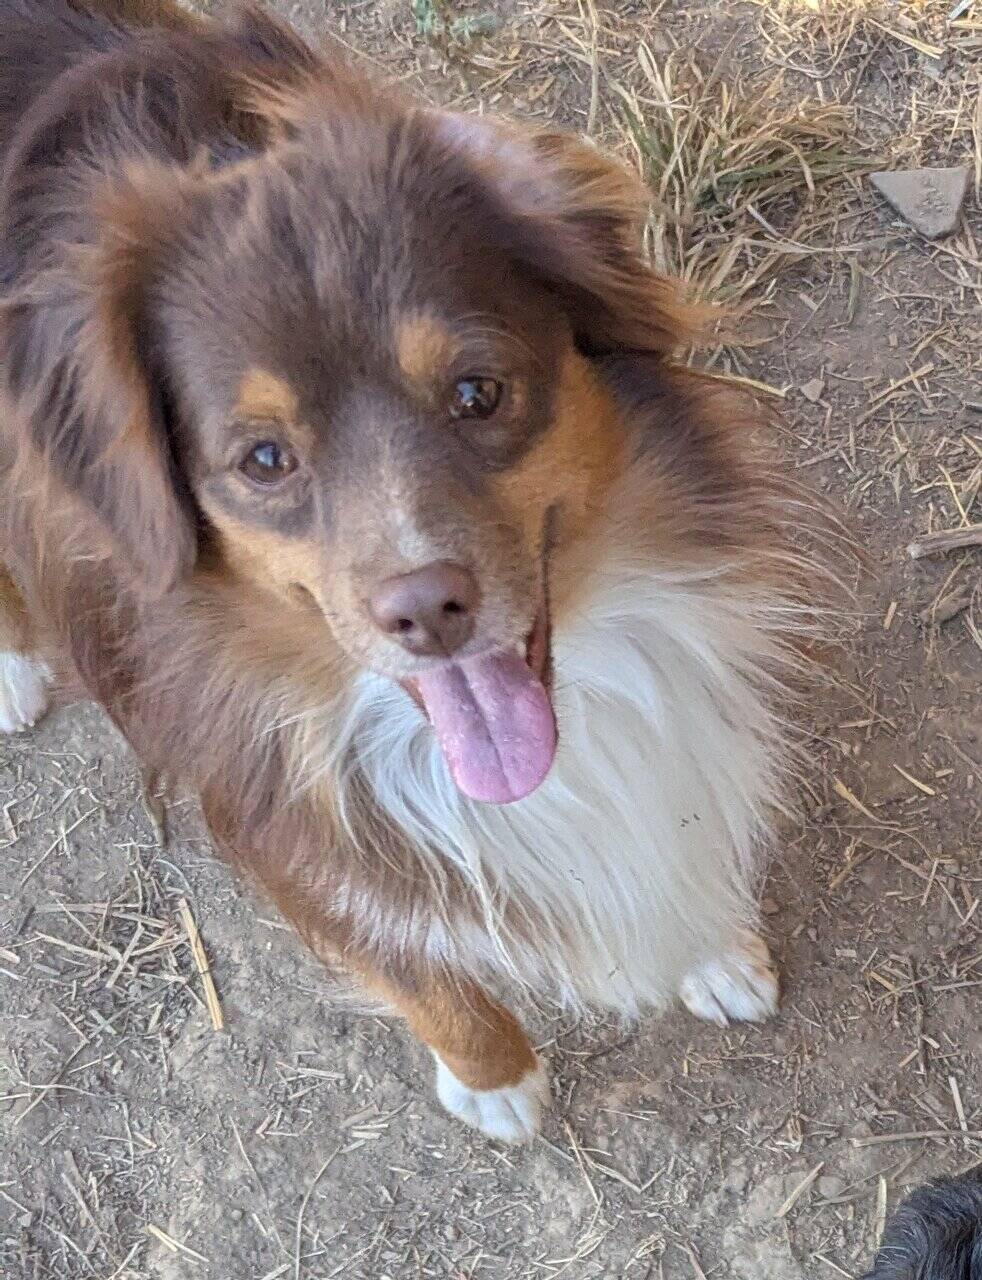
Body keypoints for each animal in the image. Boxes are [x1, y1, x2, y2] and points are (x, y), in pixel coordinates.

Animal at [0, 0, 833, 1141]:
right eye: (264, 459)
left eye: (478, 391)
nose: (425, 609)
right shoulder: (275, 806)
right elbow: (408, 959)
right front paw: (491, 1074)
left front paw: (709, 944)